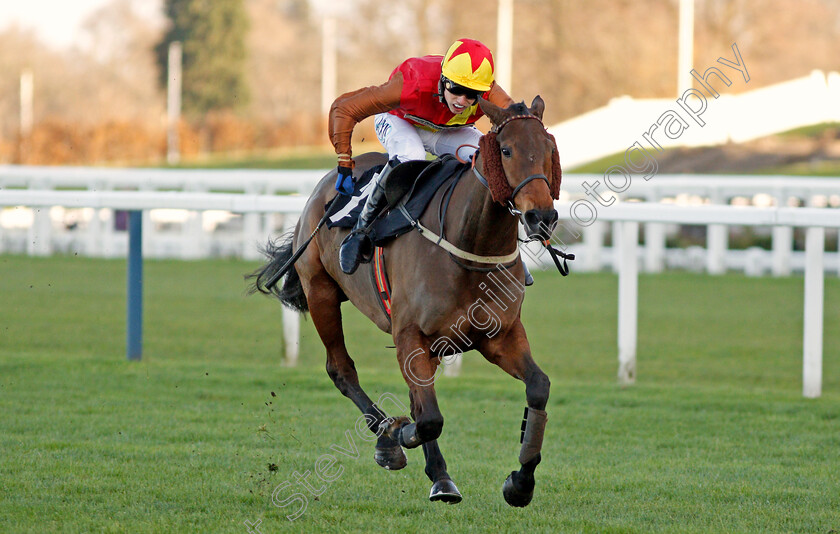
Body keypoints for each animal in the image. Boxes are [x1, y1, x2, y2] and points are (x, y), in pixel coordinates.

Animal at [253, 96, 560, 510]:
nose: (542, 216)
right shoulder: (410, 335)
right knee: (341, 369)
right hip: (320, 292)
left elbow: (538, 387)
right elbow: (427, 418)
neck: (470, 246)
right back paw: (389, 436)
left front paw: (520, 483)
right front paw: (394, 438)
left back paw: (440, 476)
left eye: (548, 150)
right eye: (507, 150)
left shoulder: (499, 336)